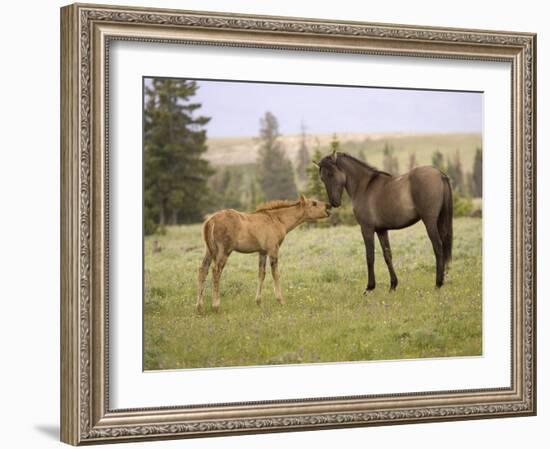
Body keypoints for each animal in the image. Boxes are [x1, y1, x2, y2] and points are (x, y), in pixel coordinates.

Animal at [320, 150, 452, 290]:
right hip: (440, 221)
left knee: (438, 247)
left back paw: (438, 283)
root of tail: (440, 174)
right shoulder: (381, 230)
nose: (334, 202)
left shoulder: (366, 229)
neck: (364, 186)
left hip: (430, 222)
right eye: (322, 178)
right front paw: (393, 285)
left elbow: (370, 256)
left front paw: (370, 287)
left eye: (331, 174)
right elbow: (387, 255)